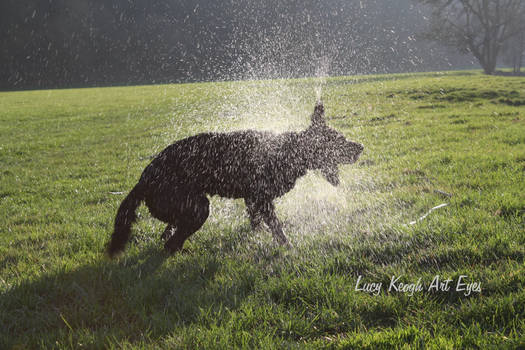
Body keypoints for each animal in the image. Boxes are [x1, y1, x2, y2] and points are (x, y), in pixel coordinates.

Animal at [106, 102, 360, 258]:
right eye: (339, 140)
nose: (361, 147)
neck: (289, 151)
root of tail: (143, 179)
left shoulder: (252, 198)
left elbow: (256, 221)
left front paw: (257, 235)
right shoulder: (262, 198)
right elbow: (277, 227)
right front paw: (287, 247)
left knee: (171, 230)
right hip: (199, 207)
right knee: (172, 242)